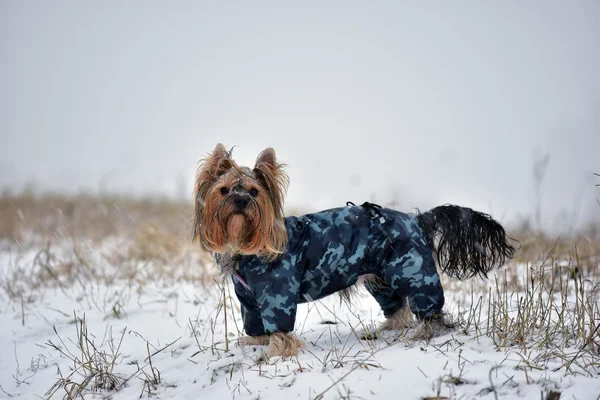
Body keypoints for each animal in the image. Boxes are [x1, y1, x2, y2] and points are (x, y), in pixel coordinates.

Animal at [192, 144, 516, 356]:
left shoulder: (277, 294)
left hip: (413, 270)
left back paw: (426, 332)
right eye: (223, 190)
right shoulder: (249, 301)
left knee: (429, 307)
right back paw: (388, 329)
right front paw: (255, 343)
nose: (240, 201)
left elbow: (280, 328)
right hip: (381, 278)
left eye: (254, 192)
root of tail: (415, 219)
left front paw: (275, 353)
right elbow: (255, 324)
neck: (247, 245)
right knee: (398, 308)